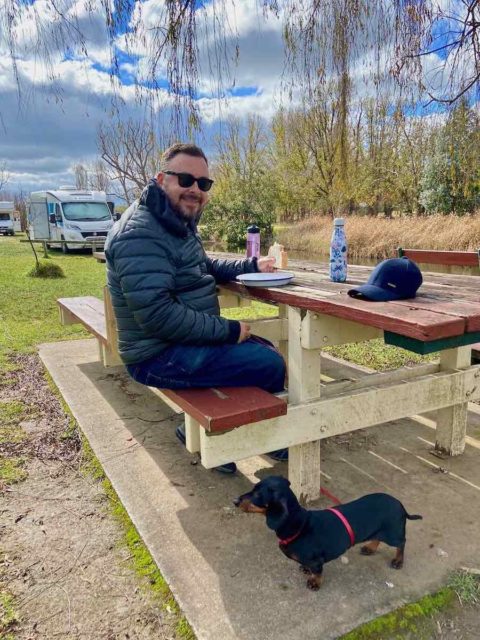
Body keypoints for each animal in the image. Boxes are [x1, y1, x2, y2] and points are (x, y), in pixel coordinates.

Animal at [234, 476, 422, 592]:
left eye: (258, 494)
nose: (234, 501)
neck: (300, 525)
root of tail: (401, 505)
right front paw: (305, 569)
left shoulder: (317, 562)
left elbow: (317, 572)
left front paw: (314, 583)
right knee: (377, 538)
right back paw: (370, 548)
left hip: (393, 534)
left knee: (402, 543)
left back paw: (398, 561)